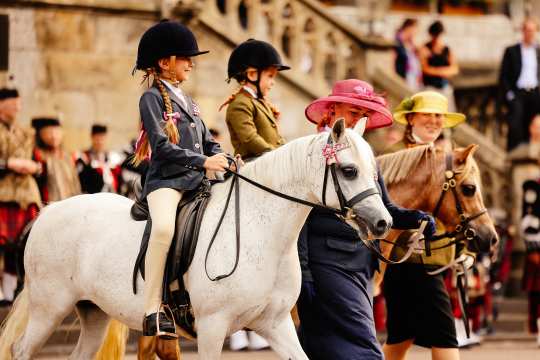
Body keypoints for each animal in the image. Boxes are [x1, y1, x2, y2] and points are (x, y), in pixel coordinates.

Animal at [0, 119, 390, 358]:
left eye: (374, 170)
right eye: (349, 170)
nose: (383, 222)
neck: (260, 228)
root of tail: (49, 211)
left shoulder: (276, 324)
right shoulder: (212, 326)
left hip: (92, 312)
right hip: (49, 308)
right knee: (21, 350)